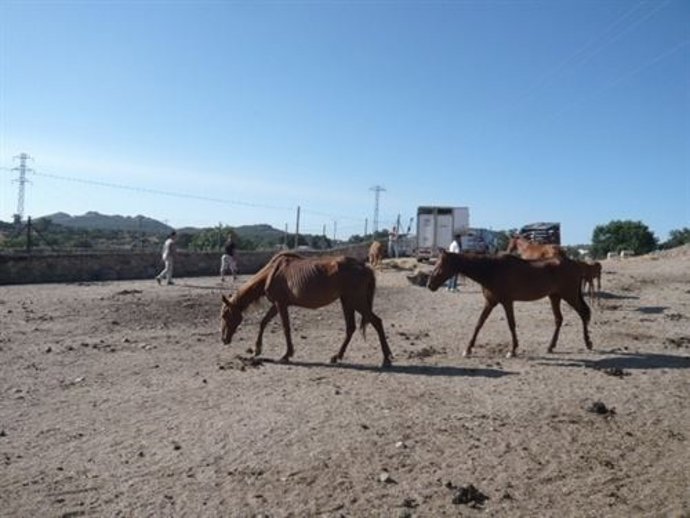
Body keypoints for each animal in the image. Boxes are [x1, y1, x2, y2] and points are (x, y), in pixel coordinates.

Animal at [220, 252, 393, 367]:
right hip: (347, 301)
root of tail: (364, 267)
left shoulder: (280, 304)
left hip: (356, 301)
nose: (224, 339)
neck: (272, 272)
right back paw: (336, 357)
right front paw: (257, 349)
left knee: (376, 322)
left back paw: (386, 358)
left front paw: (286, 354)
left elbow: (286, 328)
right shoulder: (277, 304)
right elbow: (263, 322)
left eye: (224, 315)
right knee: (350, 328)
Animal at [427, 250, 592, 358]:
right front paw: (467, 349)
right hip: (555, 297)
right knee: (559, 319)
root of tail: (575, 264)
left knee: (583, 314)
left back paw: (588, 343)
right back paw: (550, 347)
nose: (430, 285)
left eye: (440, 265)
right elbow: (479, 323)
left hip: (569, 296)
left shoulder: (507, 302)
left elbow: (511, 324)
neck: (492, 270)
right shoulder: (490, 302)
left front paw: (512, 350)